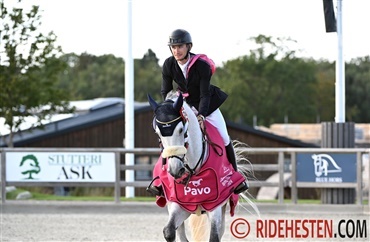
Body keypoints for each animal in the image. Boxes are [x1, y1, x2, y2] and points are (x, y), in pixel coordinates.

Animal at [147, 91, 258, 242]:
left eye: (181, 130)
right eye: (158, 133)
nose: (175, 170)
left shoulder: (216, 206)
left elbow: (214, 236)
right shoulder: (179, 204)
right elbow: (169, 232)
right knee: (180, 232)